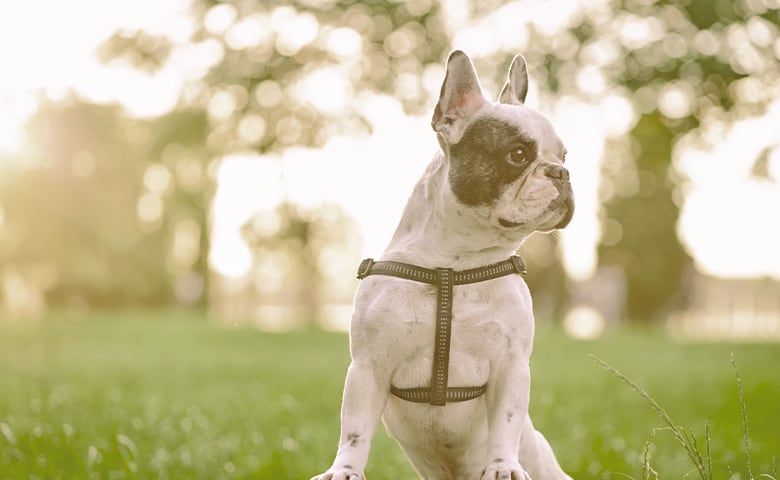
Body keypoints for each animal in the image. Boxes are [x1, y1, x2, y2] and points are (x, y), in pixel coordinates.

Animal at [310, 50, 572, 478]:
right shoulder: (368, 367)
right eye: (517, 155)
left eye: (564, 157)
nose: (562, 173)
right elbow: (355, 429)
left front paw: (503, 467)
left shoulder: (511, 368)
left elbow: (507, 422)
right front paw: (344, 469)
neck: (455, 265)